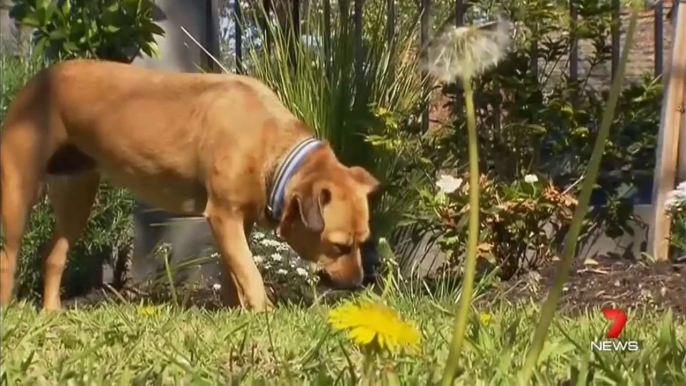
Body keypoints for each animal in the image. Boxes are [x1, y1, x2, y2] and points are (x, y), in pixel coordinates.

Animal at [0, 58, 378, 310]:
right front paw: (264, 312)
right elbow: (250, 272)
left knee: (54, 255)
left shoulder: (238, 220)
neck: (273, 149)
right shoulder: (223, 215)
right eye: (340, 245)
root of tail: (39, 78)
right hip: (18, 191)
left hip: (76, 194)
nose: (357, 283)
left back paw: (51, 312)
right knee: (9, 257)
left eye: (363, 241)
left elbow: (234, 270)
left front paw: (235, 312)